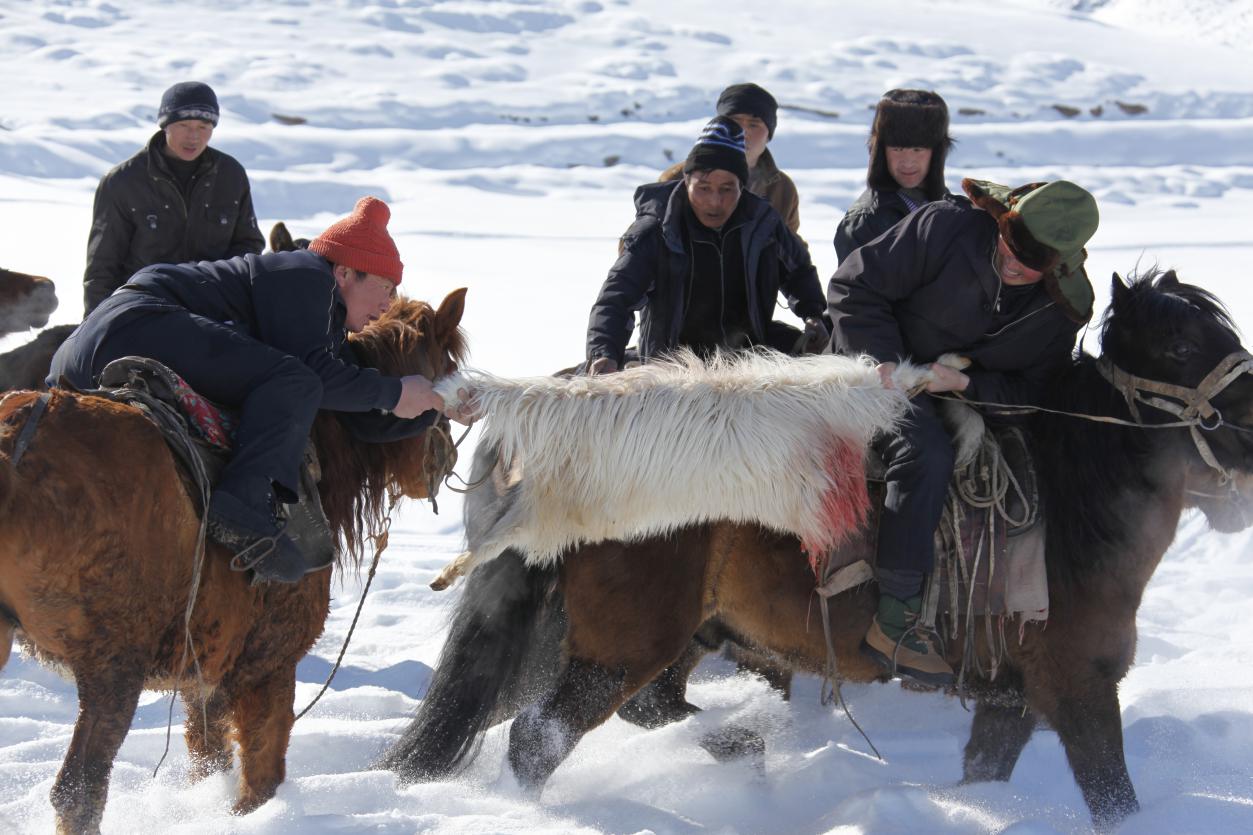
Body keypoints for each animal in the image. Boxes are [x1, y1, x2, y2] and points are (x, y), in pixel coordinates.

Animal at [0, 289, 468, 827]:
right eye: (444, 374)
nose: (445, 458)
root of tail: (13, 445)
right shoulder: (269, 663)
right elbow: (261, 775)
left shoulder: (203, 676)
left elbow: (208, 755)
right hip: (113, 668)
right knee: (79, 791)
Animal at [380, 269, 1253, 827]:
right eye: (1177, 347)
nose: (1249, 435)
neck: (1069, 496)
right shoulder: (1076, 685)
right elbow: (1112, 792)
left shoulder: (1008, 696)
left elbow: (987, 768)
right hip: (627, 641)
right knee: (540, 736)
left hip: (649, 636)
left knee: (643, 708)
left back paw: (734, 740)